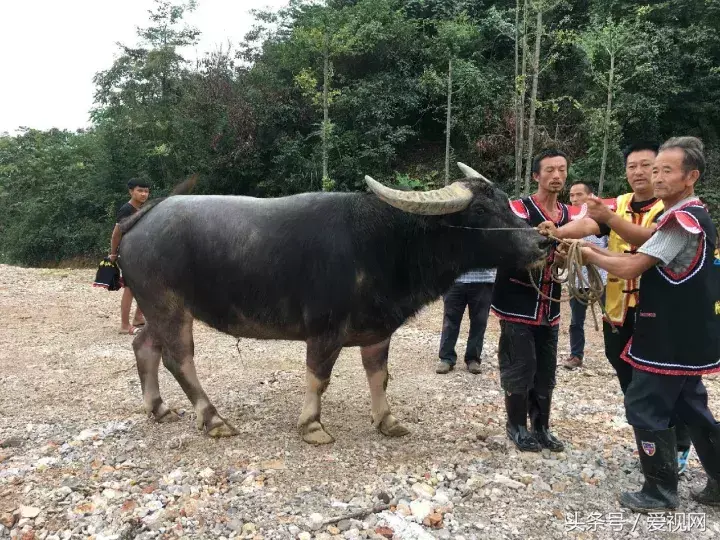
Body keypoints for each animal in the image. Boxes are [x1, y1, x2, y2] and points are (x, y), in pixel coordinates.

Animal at [118, 162, 548, 446]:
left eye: (507, 202)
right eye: (481, 211)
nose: (543, 241)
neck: (381, 242)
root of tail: (141, 220)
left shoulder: (377, 329)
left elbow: (379, 376)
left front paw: (387, 420)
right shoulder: (325, 330)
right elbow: (318, 377)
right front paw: (312, 425)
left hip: (158, 309)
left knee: (144, 345)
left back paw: (157, 408)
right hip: (169, 307)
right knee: (179, 360)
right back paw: (213, 419)